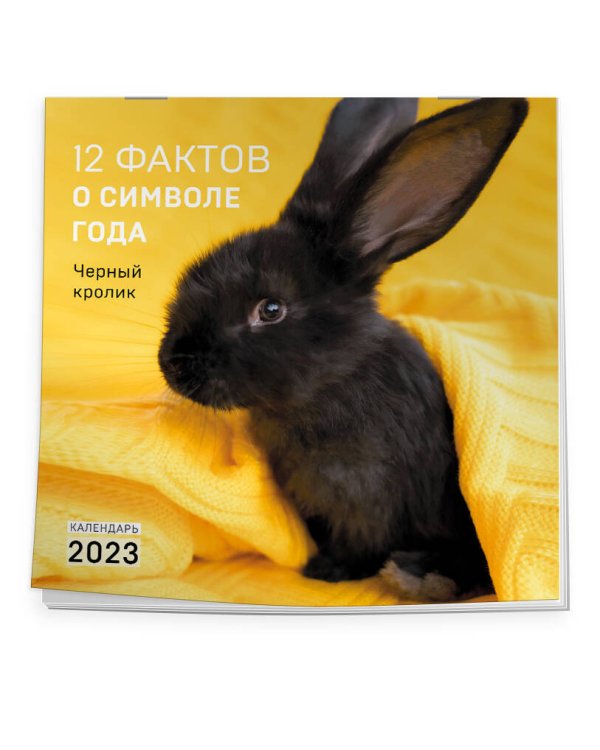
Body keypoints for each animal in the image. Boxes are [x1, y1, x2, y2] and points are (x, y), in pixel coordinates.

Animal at [159, 97, 529, 601]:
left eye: (270, 309)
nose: (171, 364)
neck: (336, 380)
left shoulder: (369, 499)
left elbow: (363, 547)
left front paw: (325, 571)